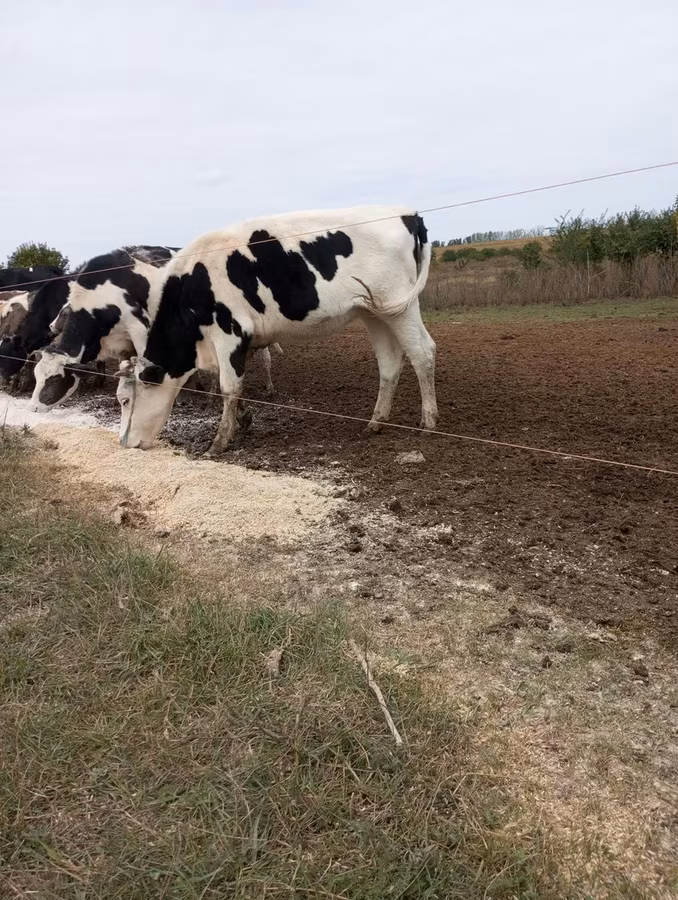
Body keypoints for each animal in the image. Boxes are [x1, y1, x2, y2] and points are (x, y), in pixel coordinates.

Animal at [117, 206, 437, 456]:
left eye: (126, 400)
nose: (124, 442)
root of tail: (408, 214)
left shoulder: (229, 333)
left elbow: (229, 388)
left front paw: (219, 442)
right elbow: (237, 386)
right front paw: (243, 421)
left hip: (401, 306)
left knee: (423, 353)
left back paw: (429, 422)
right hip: (376, 312)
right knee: (390, 364)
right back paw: (376, 421)